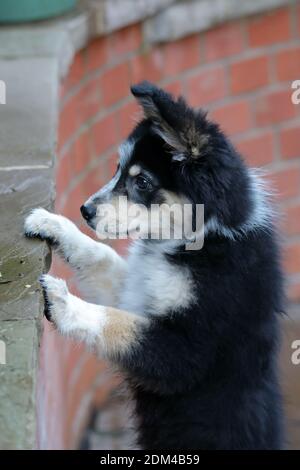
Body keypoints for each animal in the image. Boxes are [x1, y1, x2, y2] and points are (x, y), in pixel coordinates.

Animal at [24, 82, 284, 450]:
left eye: (143, 182)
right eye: (117, 169)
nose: (85, 210)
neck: (199, 240)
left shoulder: (189, 348)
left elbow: (117, 322)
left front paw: (63, 303)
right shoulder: (137, 290)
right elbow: (101, 256)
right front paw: (53, 223)